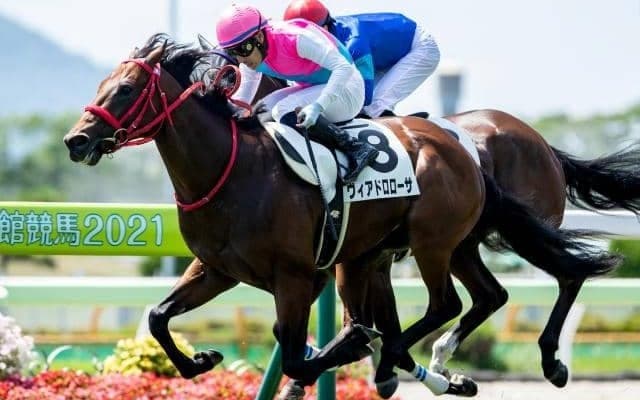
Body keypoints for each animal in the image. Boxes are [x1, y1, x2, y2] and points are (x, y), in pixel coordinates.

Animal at [63, 33, 495, 394]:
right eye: (101, 86)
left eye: (125, 89)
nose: (76, 140)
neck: (230, 172)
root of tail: (460, 147)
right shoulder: (215, 269)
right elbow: (158, 315)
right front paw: (202, 359)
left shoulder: (294, 277)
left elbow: (293, 357)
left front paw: (350, 347)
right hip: (378, 254)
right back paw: (426, 373)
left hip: (432, 242)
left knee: (444, 305)